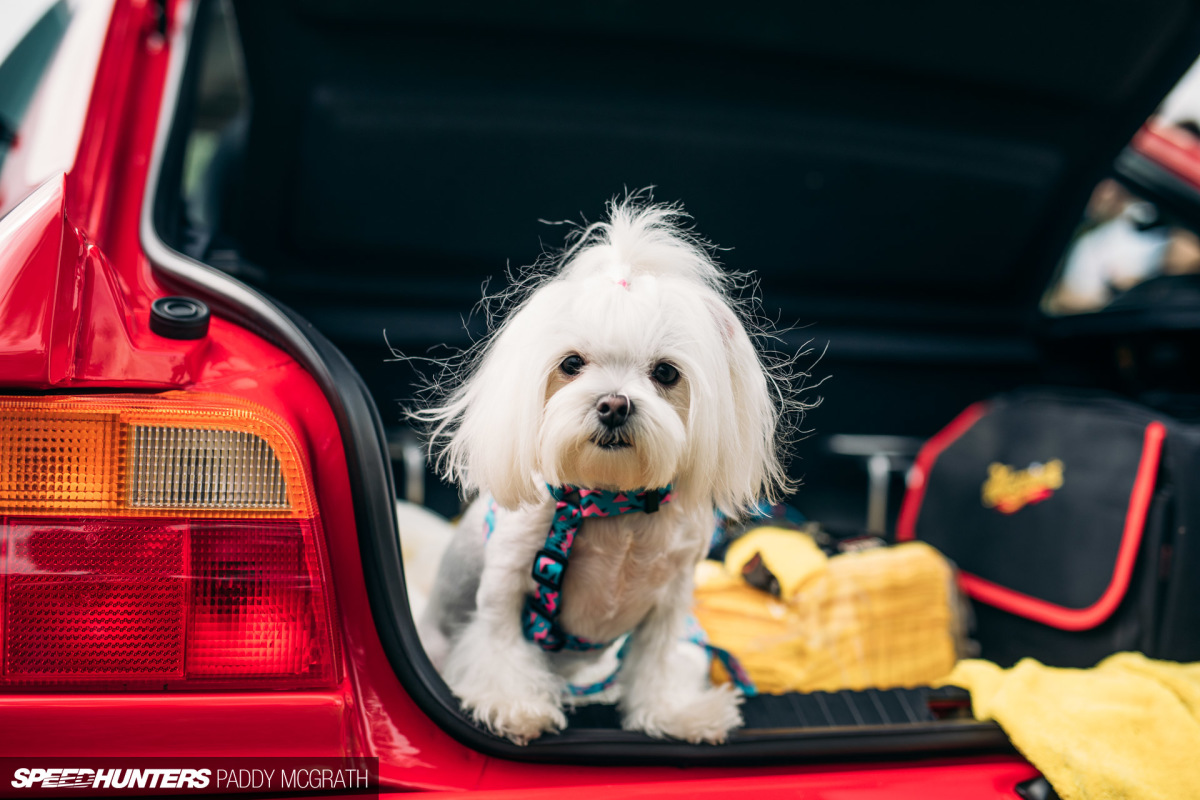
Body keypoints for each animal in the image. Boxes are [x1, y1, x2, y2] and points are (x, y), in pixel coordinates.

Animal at [412, 196, 796, 748]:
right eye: (571, 364)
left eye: (666, 373)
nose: (614, 405)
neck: (613, 501)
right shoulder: (508, 576)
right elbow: (500, 642)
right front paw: (514, 704)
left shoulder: (671, 598)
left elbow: (658, 658)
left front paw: (674, 712)